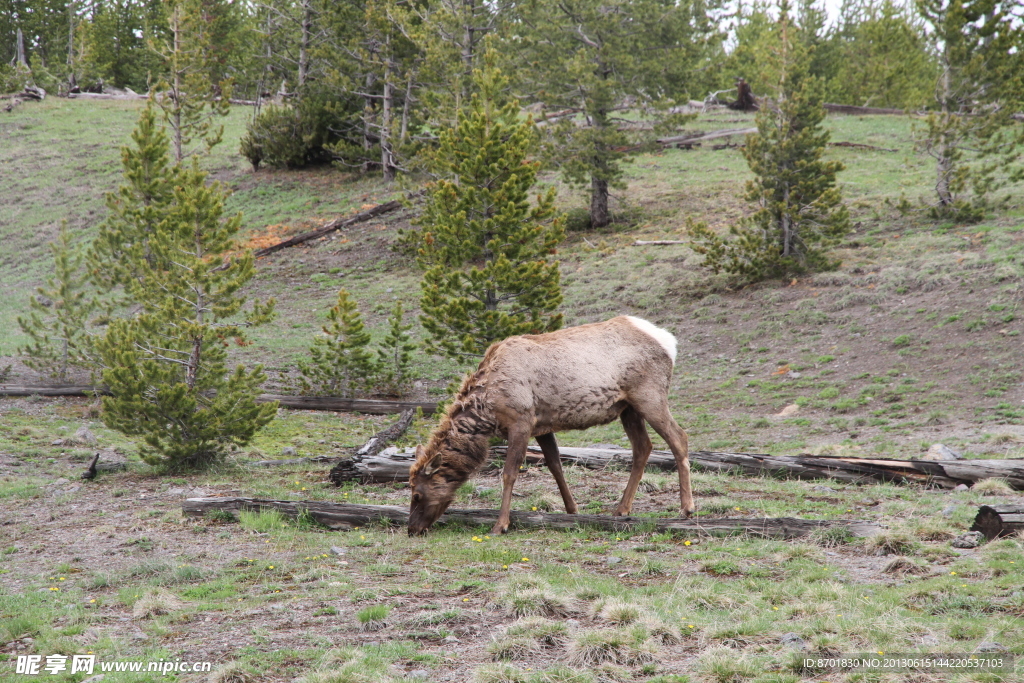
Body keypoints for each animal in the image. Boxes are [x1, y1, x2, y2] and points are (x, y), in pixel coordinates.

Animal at [405, 317, 688, 536]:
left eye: (417, 494)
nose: (411, 529)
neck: (488, 408)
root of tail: (670, 342)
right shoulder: (542, 425)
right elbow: (555, 465)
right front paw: (572, 510)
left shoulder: (521, 421)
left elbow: (509, 473)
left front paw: (500, 525)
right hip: (628, 407)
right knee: (643, 446)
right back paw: (621, 508)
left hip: (649, 395)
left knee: (679, 438)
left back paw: (686, 507)